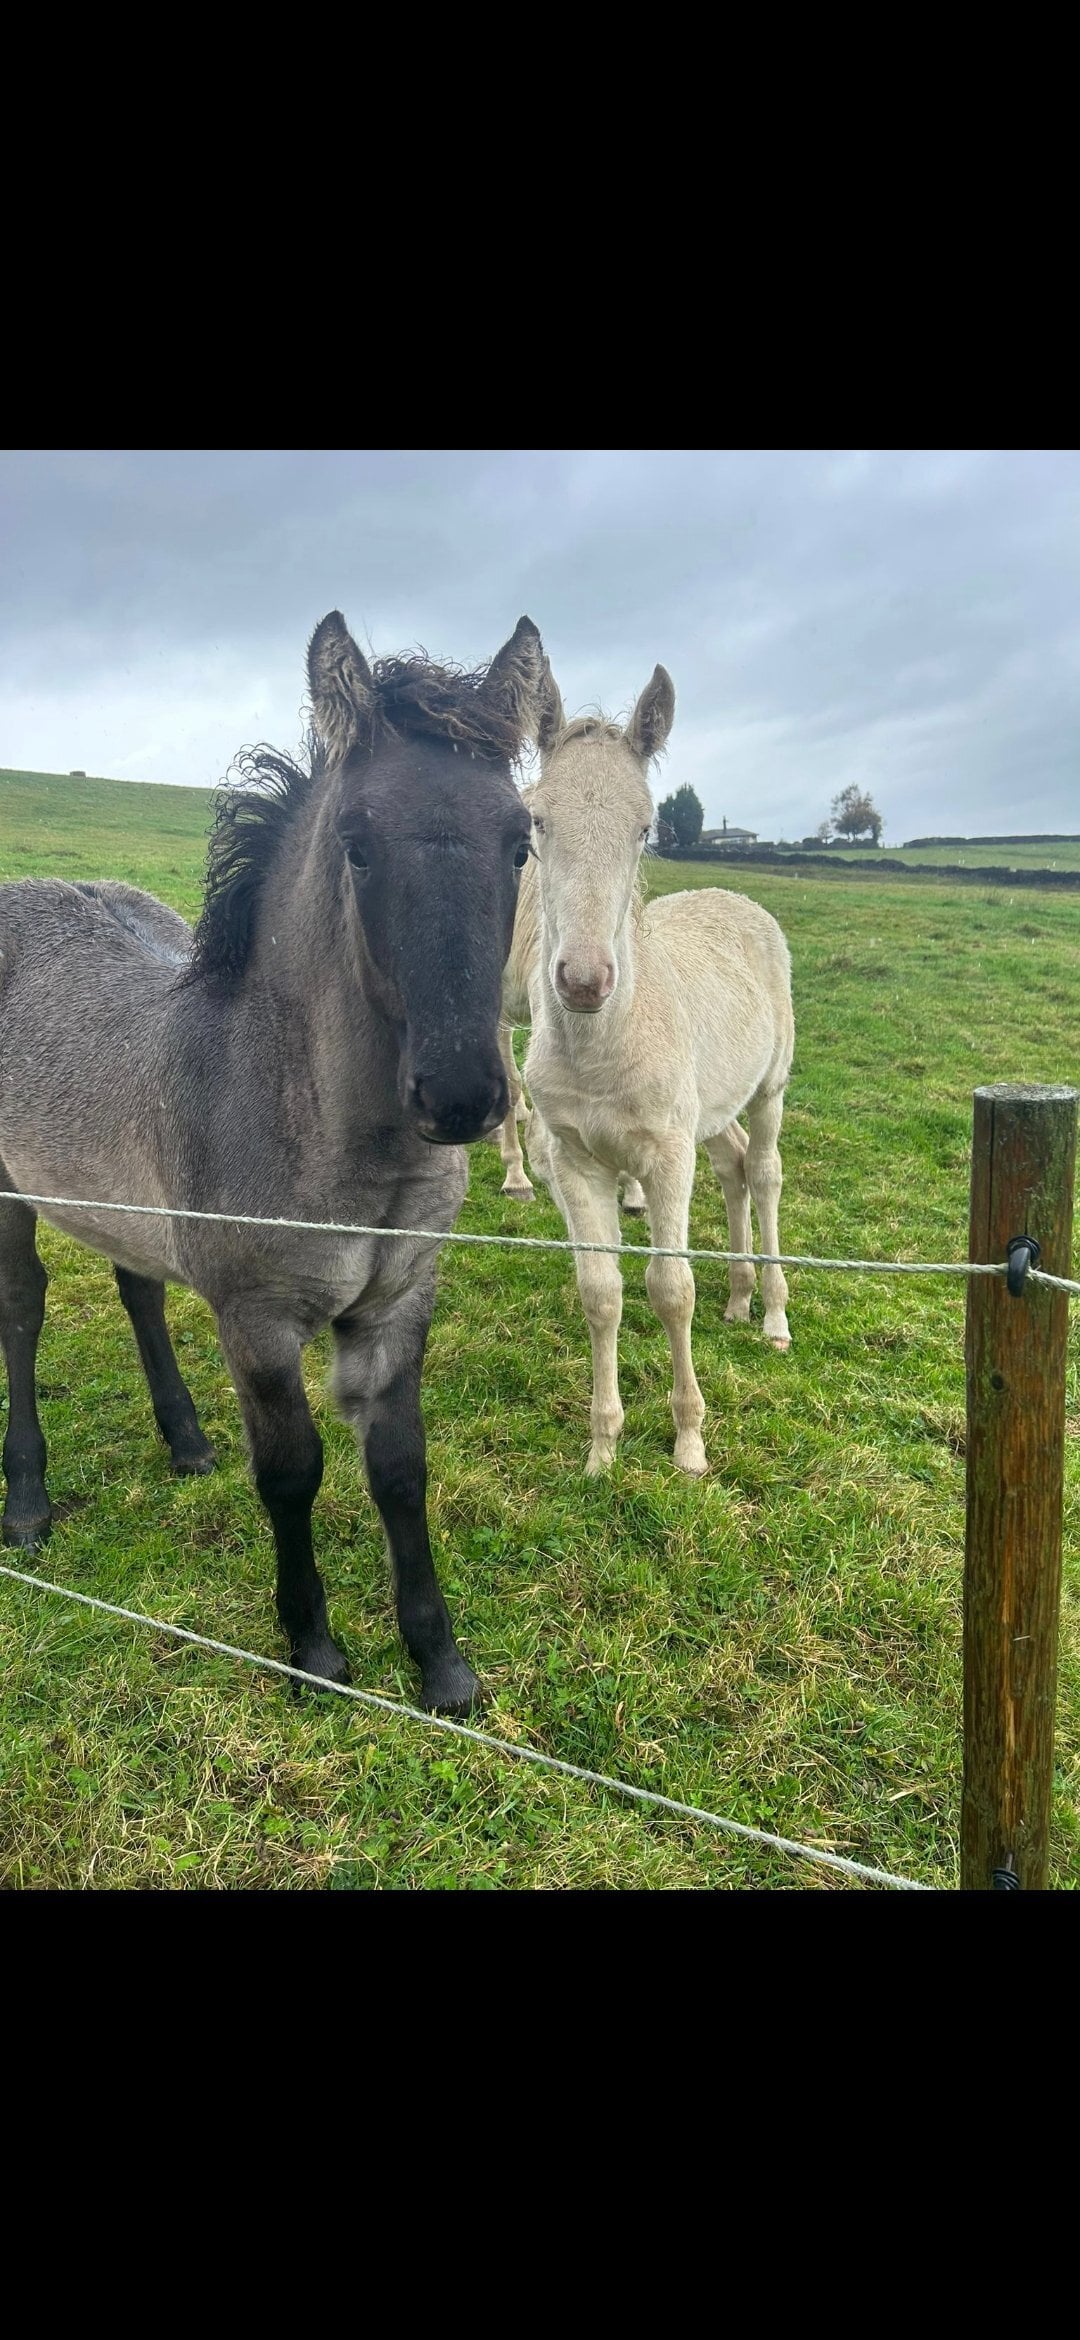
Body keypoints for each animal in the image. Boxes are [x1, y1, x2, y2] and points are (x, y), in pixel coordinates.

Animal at [0, 611, 543, 1713]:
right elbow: (292, 1471)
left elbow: (400, 1468)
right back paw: (27, 1500)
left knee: (138, 1289)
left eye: (520, 842)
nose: (462, 1095)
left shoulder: (397, 1304)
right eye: (357, 846)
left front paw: (441, 1663)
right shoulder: (256, 1320)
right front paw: (316, 1650)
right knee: (21, 1307)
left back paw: (185, 1441)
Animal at [521, 650, 794, 1477]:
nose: (582, 980)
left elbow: (671, 1288)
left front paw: (689, 1444)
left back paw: (773, 1315)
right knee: (732, 1163)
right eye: (535, 819)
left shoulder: (667, 1154)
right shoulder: (575, 1159)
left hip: (770, 1087)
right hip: (710, 1109)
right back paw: (738, 1298)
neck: (604, 1049)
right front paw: (602, 1449)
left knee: (763, 1171)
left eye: (645, 826)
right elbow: (601, 1292)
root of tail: (735, 895)